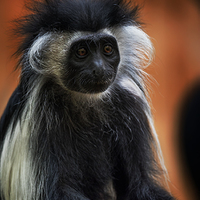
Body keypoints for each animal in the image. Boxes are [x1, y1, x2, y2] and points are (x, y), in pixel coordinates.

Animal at [0, 0, 175, 199]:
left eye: (107, 49)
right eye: (82, 51)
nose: (99, 68)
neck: (87, 100)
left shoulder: (130, 105)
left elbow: (140, 186)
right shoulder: (40, 118)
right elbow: (57, 190)